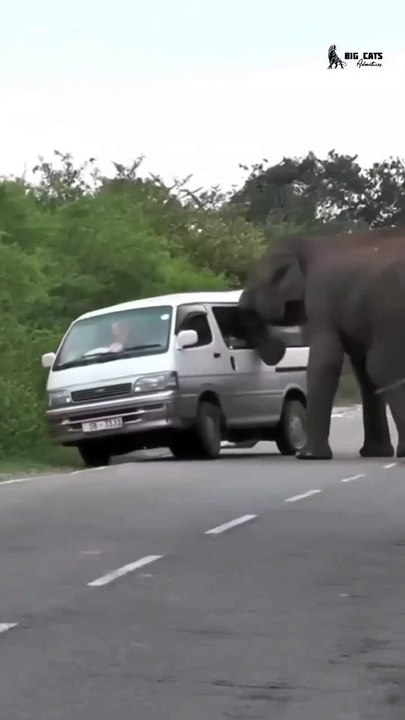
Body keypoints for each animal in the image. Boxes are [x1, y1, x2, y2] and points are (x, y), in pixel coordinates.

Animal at [238, 227, 405, 460]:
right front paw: (375, 453)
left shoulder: (320, 300)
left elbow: (326, 360)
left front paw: (307, 456)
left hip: (391, 310)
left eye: (254, 282)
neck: (307, 243)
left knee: (383, 369)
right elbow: (362, 371)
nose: (279, 350)